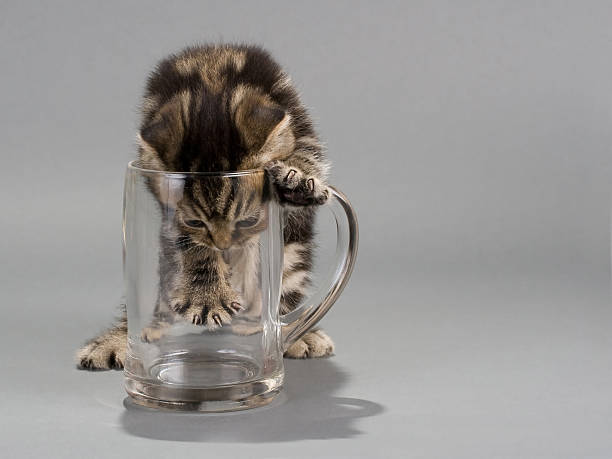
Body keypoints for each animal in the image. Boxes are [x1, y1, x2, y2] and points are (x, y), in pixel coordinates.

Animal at [77, 45, 334, 372]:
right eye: (196, 223)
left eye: (248, 220)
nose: (224, 245)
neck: (213, 77)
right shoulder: (169, 211)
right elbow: (190, 245)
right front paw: (207, 295)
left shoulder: (300, 125)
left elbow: (306, 154)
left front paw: (297, 177)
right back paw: (122, 337)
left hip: (291, 257)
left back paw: (294, 332)